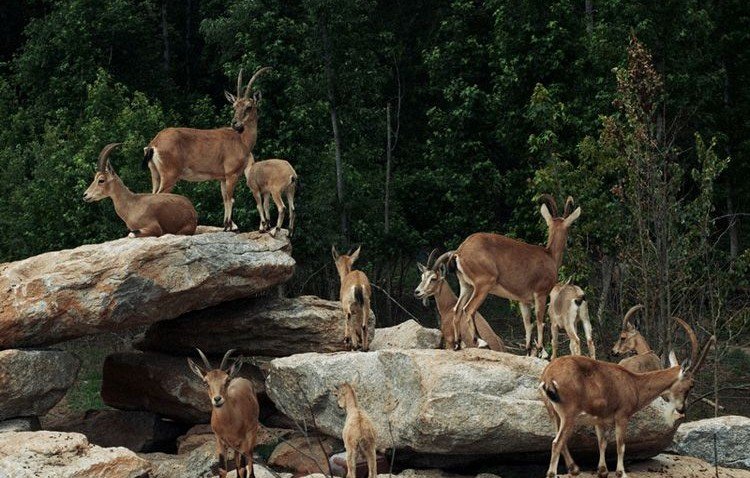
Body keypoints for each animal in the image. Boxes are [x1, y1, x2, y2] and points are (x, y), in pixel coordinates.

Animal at [142, 67, 272, 232]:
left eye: (249, 107)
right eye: (234, 106)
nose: (235, 123)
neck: (241, 140)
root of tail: (154, 143)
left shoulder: (222, 178)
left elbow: (225, 198)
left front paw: (227, 225)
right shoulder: (232, 174)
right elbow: (230, 198)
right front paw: (230, 226)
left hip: (155, 174)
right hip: (169, 174)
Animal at [187, 348, 258, 478]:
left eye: (227, 380)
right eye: (205, 382)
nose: (217, 399)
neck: (228, 423)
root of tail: (242, 379)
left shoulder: (244, 440)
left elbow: (243, 469)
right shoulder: (220, 441)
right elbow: (222, 470)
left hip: (252, 434)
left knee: (249, 458)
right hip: (235, 444)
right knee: (236, 459)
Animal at [452, 194, 580, 354]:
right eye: (570, 226)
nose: (571, 242)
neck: (550, 255)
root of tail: (460, 251)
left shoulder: (523, 301)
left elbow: (527, 324)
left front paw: (529, 350)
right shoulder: (541, 294)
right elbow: (540, 321)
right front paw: (541, 351)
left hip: (466, 285)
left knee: (456, 309)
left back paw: (457, 344)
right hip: (483, 284)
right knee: (468, 309)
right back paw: (481, 343)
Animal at [544, 324, 712, 478]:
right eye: (691, 384)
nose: (682, 409)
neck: (634, 383)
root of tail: (548, 376)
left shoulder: (600, 419)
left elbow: (602, 442)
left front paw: (603, 470)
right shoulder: (622, 416)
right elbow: (620, 445)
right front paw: (621, 472)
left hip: (554, 414)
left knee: (559, 440)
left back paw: (574, 469)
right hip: (569, 414)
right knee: (556, 442)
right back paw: (553, 473)